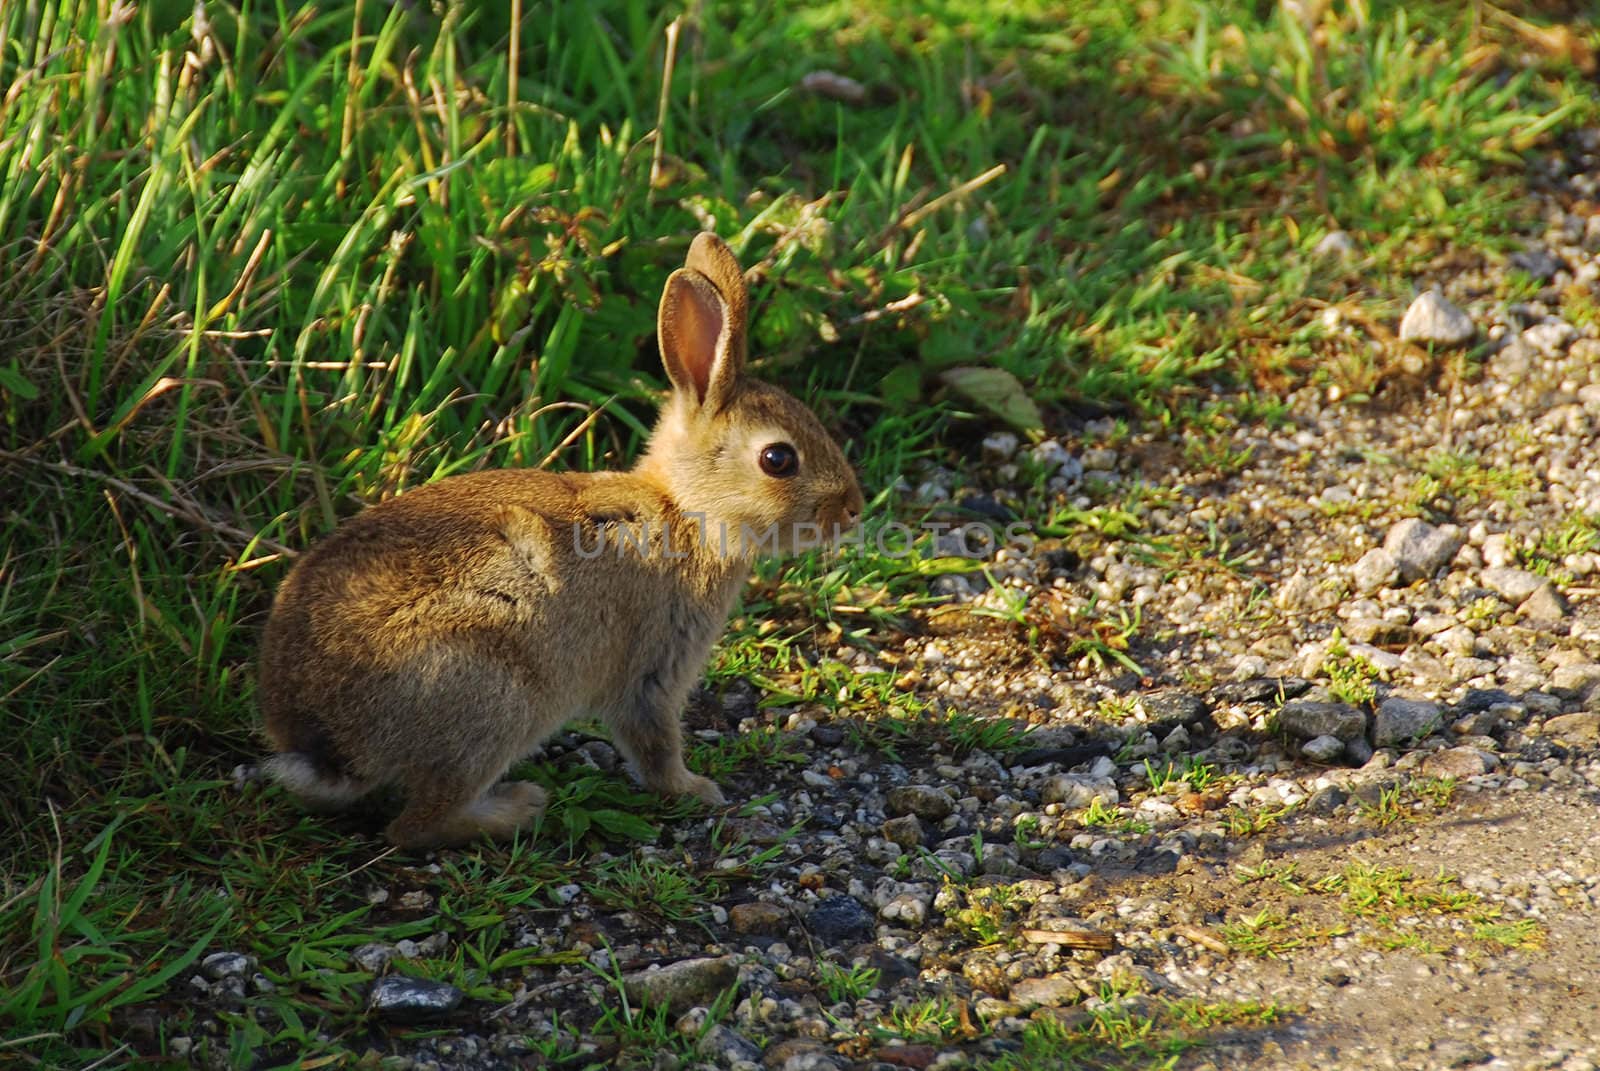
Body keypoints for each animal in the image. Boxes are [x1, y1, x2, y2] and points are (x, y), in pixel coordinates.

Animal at [262, 232, 864, 845]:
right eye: (778, 459)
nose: (853, 509)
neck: (687, 514)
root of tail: (326, 744)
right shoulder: (654, 664)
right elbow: (654, 742)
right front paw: (695, 790)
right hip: (496, 702)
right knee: (415, 826)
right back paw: (519, 807)